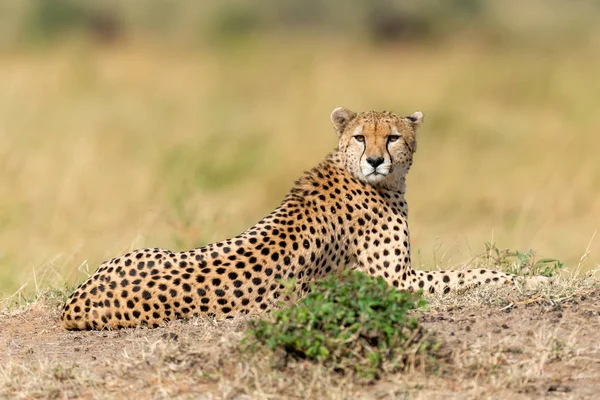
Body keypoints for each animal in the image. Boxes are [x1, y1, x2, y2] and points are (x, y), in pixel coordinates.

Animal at [62, 108, 548, 330]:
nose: (375, 160)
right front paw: (530, 279)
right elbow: (471, 272)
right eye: (361, 137)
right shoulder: (397, 282)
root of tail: (72, 305)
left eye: (392, 137)